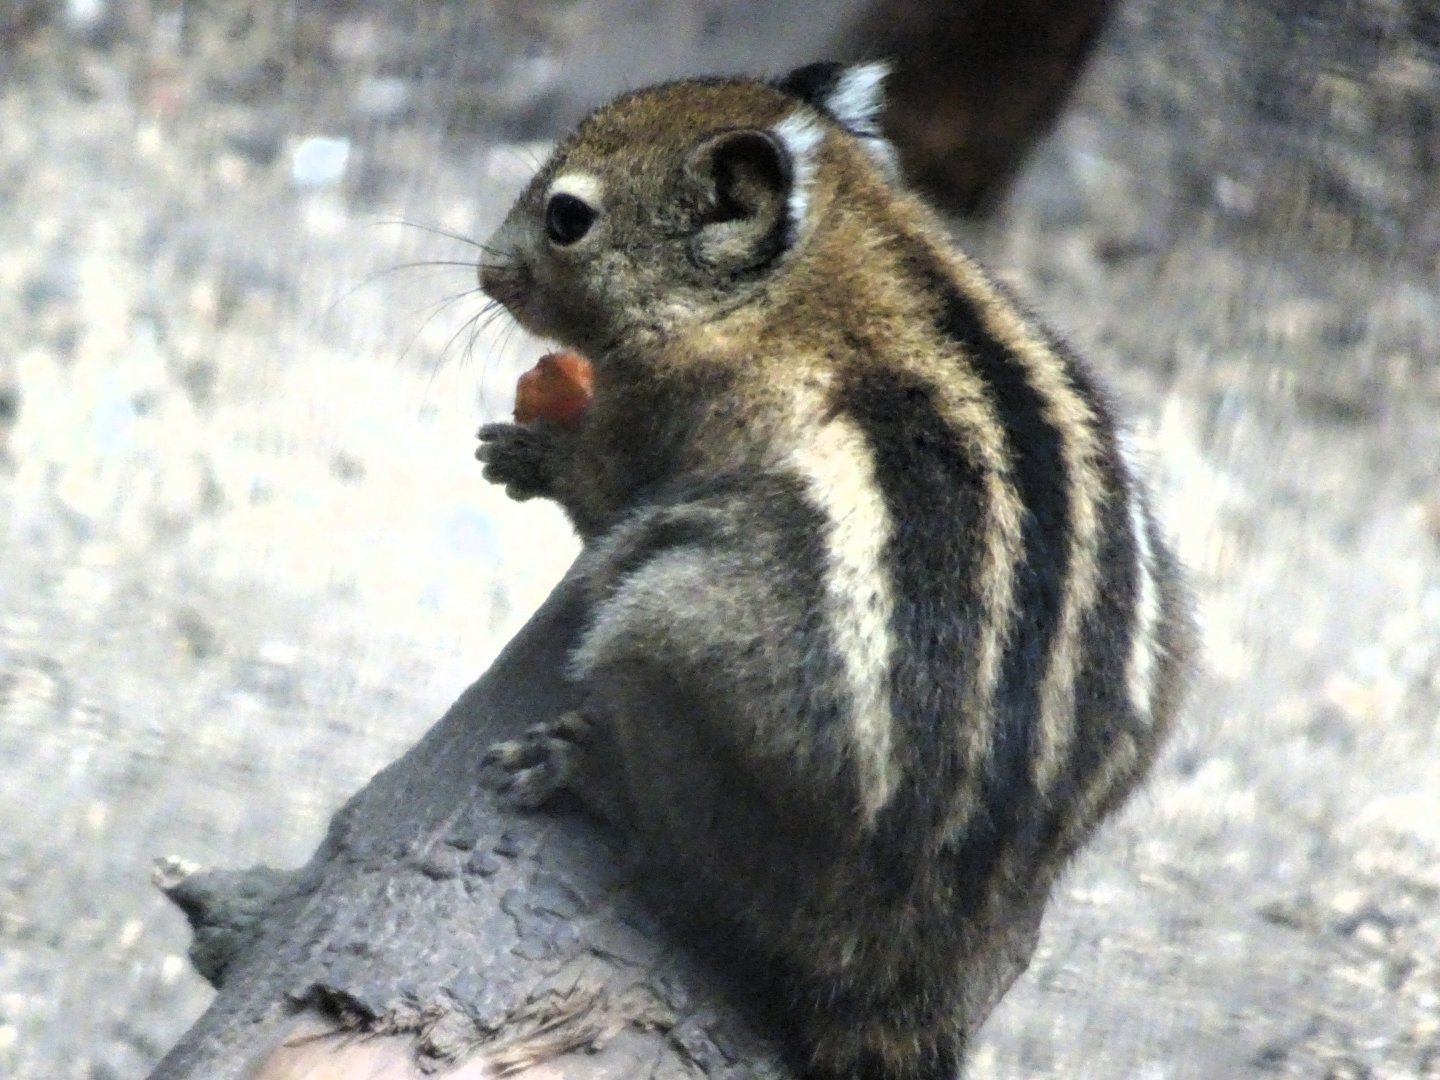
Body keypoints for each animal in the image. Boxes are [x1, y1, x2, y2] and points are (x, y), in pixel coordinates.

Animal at [474, 62, 1195, 1080]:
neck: (832, 253)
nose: (485, 270)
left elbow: (600, 491)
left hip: (660, 649)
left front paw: (528, 454)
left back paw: (585, 769)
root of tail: (921, 932)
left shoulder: (657, 419)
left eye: (566, 217)